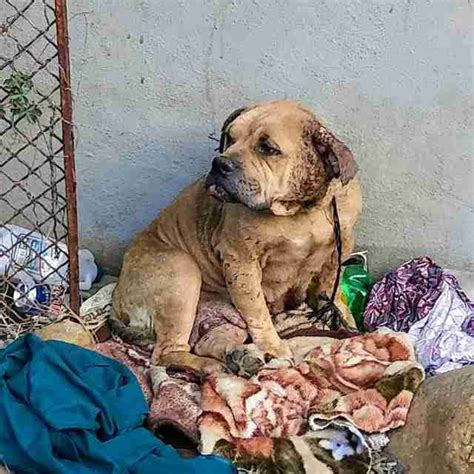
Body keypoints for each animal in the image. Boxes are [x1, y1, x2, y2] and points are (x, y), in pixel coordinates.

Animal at [112, 101, 362, 374]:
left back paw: (241, 358)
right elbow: (257, 309)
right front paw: (273, 347)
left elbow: (330, 286)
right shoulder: (242, 261)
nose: (219, 163)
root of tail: (116, 300)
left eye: (268, 148)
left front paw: (341, 316)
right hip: (181, 272)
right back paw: (213, 366)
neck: (299, 210)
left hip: (222, 319)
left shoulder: (340, 248)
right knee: (166, 353)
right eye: (229, 138)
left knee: (208, 342)